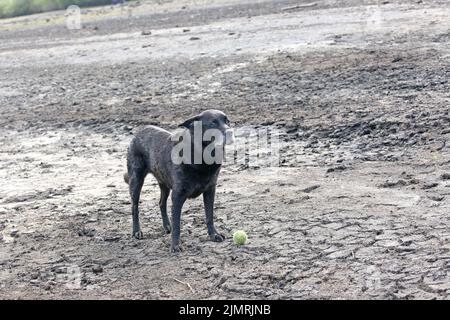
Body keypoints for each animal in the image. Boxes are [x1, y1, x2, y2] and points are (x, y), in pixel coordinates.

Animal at [125, 110, 234, 252]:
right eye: (212, 123)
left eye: (227, 121)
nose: (230, 132)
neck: (201, 157)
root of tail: (138, 132)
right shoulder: (177, 196)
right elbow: (177, 223)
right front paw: (175, 246)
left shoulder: (210, 191)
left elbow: (209, 216)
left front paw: (214, 235)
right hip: (136, 180)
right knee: (135, 207)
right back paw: (137, 231)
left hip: (164, 183)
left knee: (161, 203)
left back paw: (167, 226)